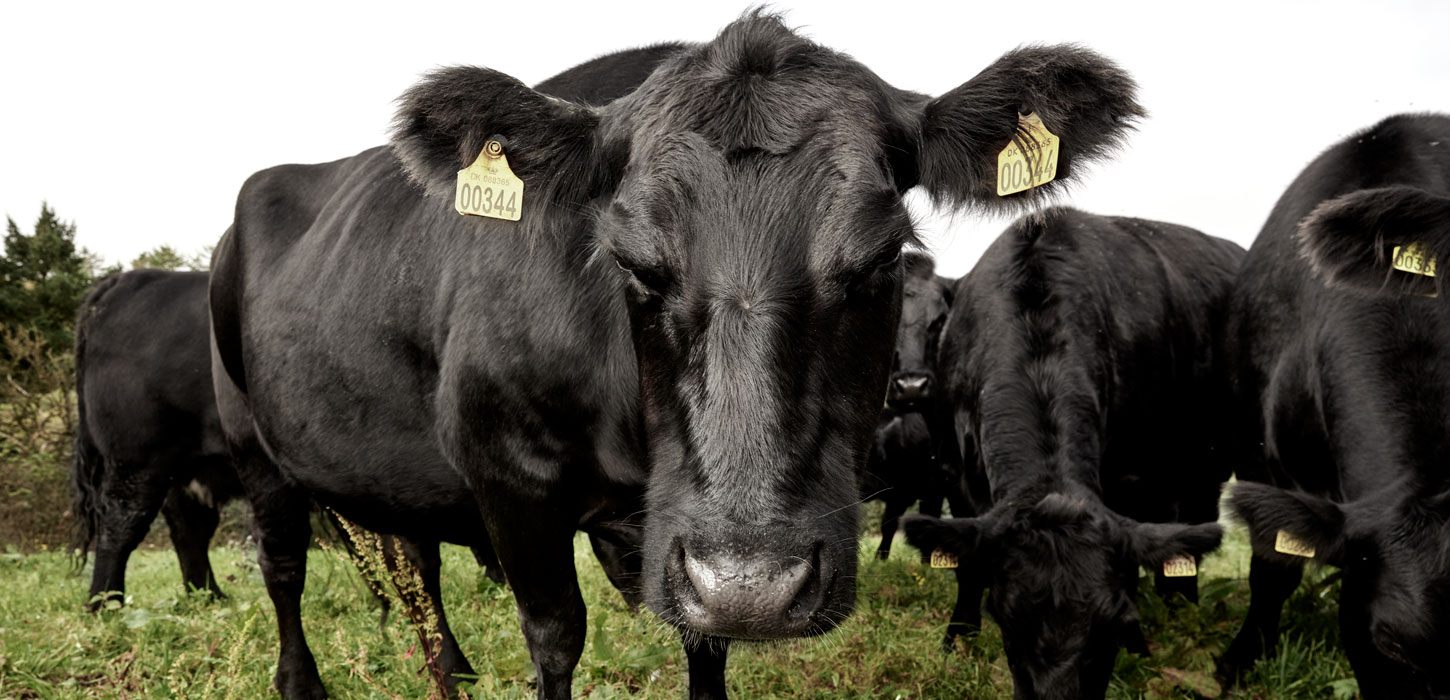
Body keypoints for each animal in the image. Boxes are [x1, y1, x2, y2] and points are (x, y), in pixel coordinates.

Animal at [904, 207, 1242, 699]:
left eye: (1114, 621)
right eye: (1004, 618)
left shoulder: (1131, 482)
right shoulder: (958, 474)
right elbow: (968, 567)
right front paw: (957, 639)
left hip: (1202, 469)